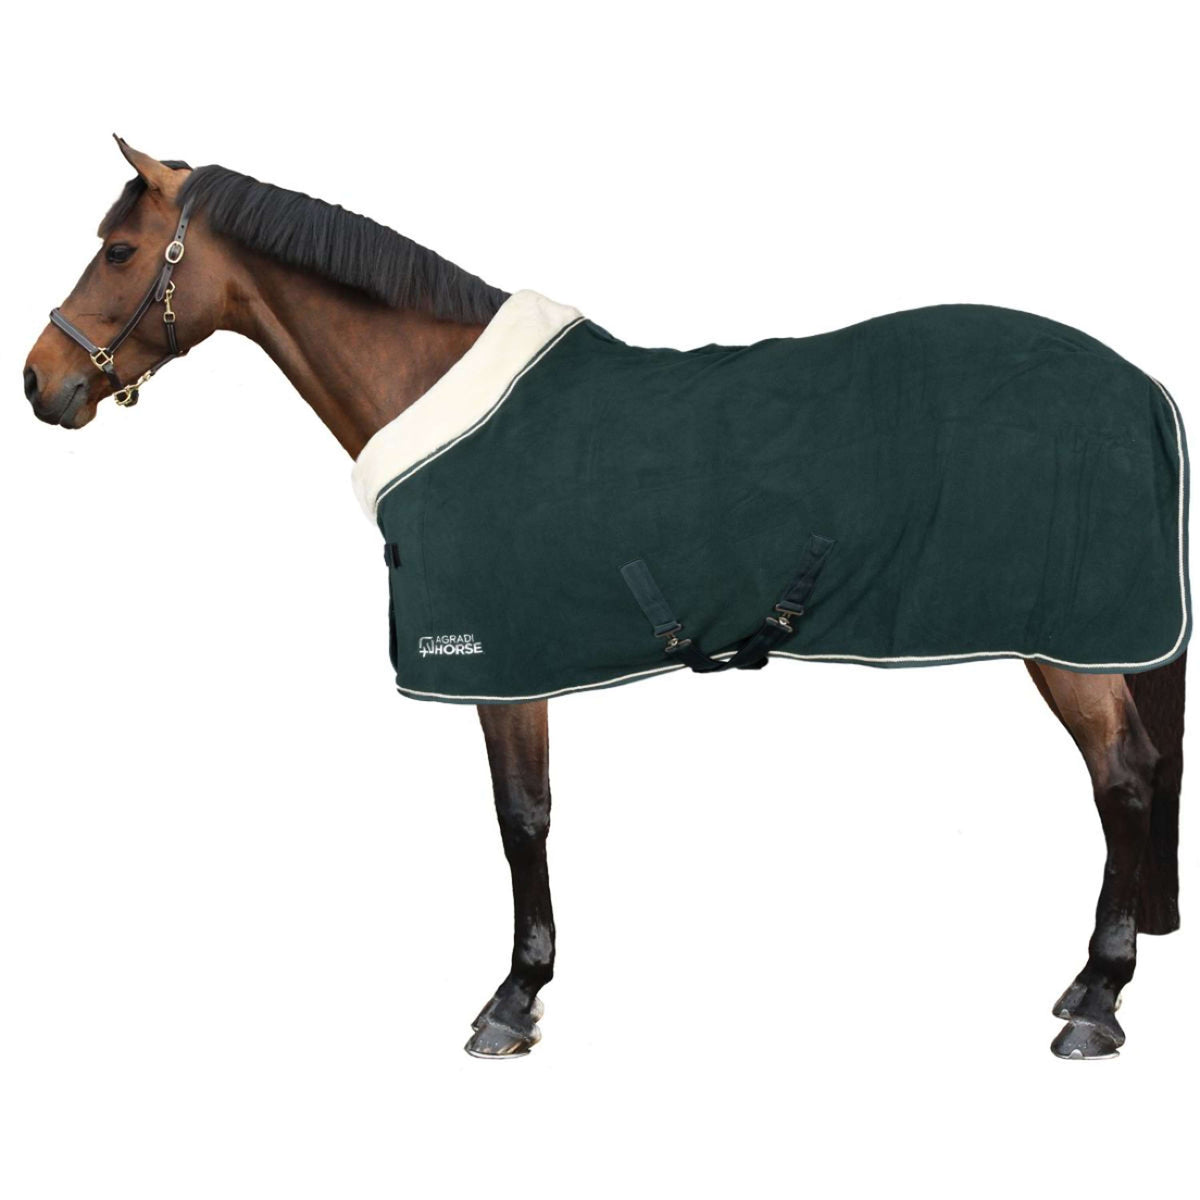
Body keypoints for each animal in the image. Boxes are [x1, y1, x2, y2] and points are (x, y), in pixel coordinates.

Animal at [23, 138, 1187, 1061]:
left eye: (120, 251)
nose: (39, 382)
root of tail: (1138, 386)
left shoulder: (500, 665)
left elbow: (521, 818)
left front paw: (513, 1000)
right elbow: (528, 815)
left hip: (1068, 643)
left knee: (1124, 777)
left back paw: (1097, 1002)